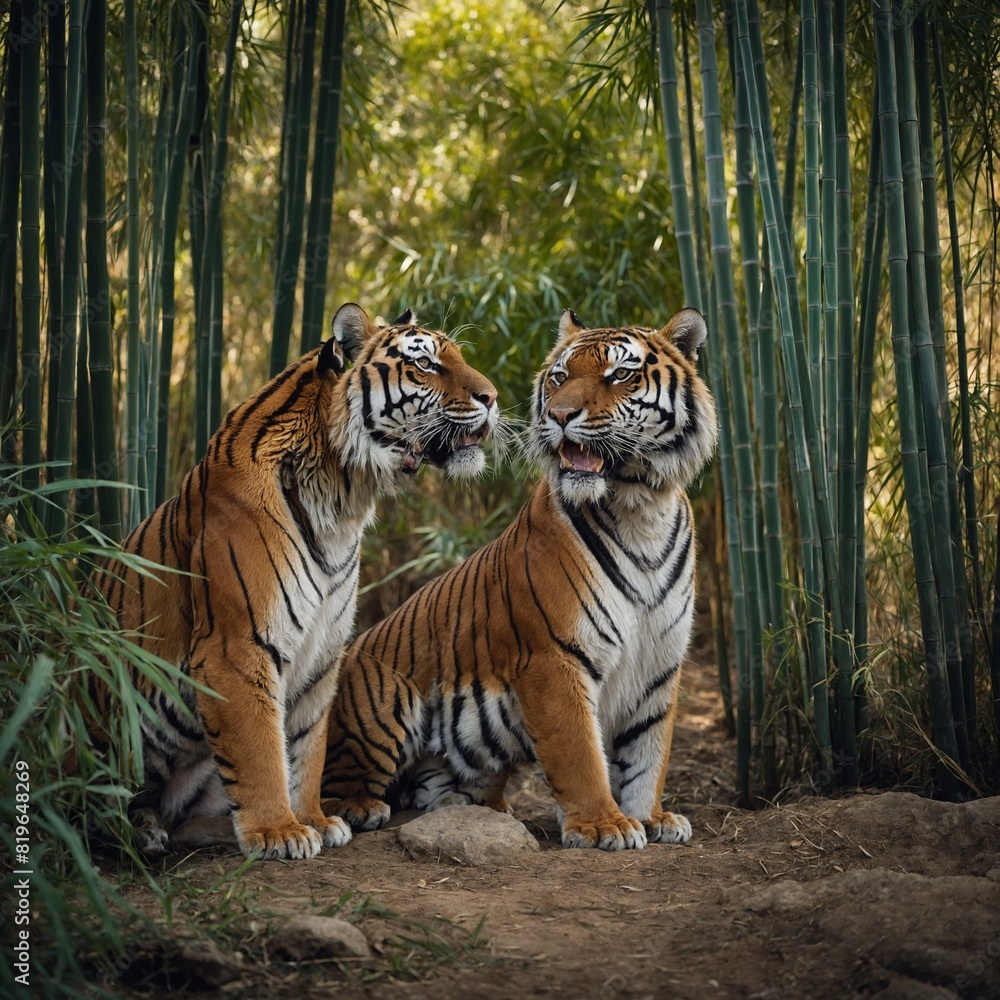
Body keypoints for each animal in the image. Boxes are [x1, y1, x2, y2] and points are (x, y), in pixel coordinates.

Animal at [92, 303, 499, 861]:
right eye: (425, 364)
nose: (493, 397)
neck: (344, 495)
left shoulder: (323, 648)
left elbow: (307, 745)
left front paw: (314, 820)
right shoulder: (234, 649)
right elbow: (259, 748)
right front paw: (277, 831)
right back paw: (138, 832)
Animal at [321, 306, 718, 851]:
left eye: (620, 374)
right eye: (560, 378)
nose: (561, 416)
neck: (642, 508)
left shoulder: (660, 662)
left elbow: (648, 754)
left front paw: (652, 817)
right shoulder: (553, 658)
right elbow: (579, 754)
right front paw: (604, 824)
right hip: (385, 696)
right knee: (333, 782)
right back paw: (360, 808)